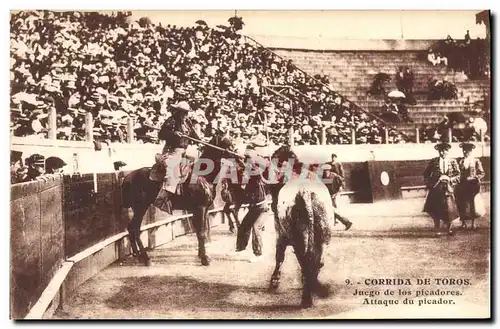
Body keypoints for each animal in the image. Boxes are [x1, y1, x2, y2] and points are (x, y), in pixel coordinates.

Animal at [122, 135, 236, 266]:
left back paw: (139, 256)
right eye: (227, 143)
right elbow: (201, 232)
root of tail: (128, 177)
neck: (202, 176)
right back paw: (146, 259)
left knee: (132, 229)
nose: (239, 155)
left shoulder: (204, 209)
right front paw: (205, 258)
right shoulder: (200, 208)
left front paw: (201, 254)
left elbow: (201, 230)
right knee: (135, 228)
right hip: (141, 207)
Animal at [268, 145, 334, 306]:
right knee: (317, 262)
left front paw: (274, 281)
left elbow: (279, 256)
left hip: (297, 239)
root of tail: (305, 192)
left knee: (304, 262)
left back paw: (306, 298)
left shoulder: (280, 234)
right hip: (324, 235)